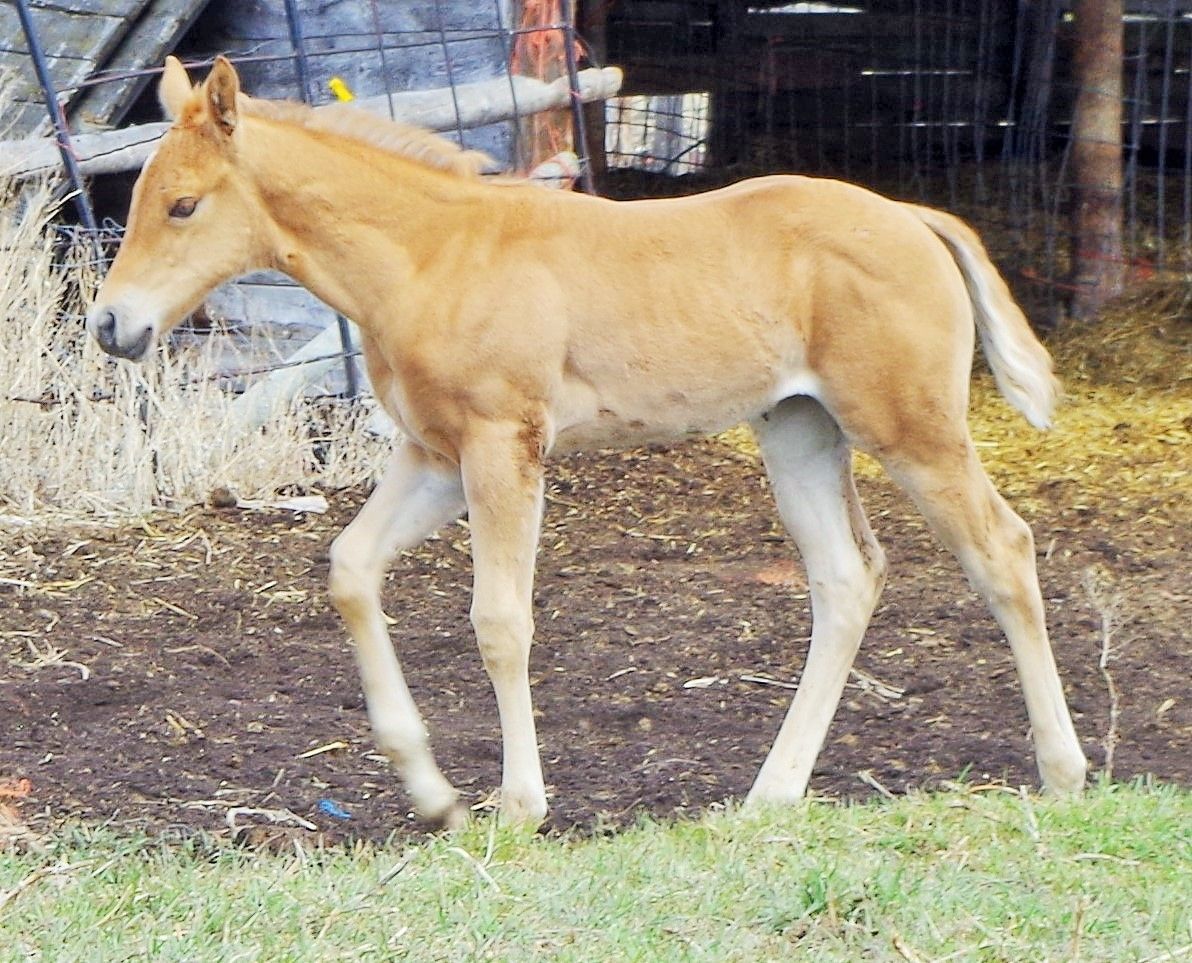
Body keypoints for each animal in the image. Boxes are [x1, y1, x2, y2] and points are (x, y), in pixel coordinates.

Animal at [85, 56, 1087, 828]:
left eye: (183, 205)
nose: (110, 325)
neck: (431, 256)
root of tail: (915, 217)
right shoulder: (435, 456)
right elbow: (350, 568)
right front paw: (432, 793)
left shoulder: (503, 445)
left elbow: (500, 620)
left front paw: (520, 805)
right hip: (800, 430)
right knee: (846, 577)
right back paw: (771, 794)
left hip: (910, 428)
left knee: (1002, 548)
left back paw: (1064, 770)